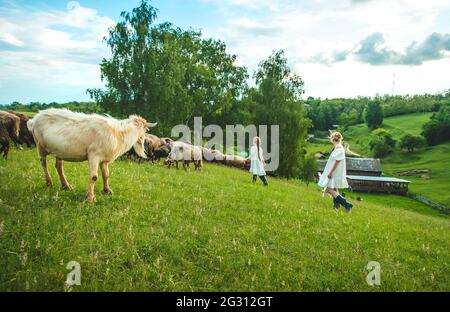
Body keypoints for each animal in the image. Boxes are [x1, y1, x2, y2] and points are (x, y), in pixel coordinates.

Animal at [27, 108, 156, 204]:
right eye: (145, 130)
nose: (145, 142)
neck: (118, 134)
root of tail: (34, 119)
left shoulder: (104, 159)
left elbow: (106, 175)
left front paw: (107, 190)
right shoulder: (94, 155)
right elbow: (94, 177)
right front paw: (90, 198)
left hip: (59, 150)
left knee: (58, 166)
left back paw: (66, 186)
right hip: (40, 145)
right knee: (43, 163)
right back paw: (49, 182)